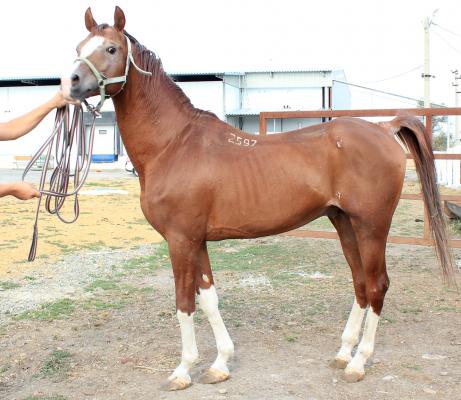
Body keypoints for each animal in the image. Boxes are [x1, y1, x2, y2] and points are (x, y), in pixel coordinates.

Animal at [63, 6, 455, 391]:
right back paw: (345, 352)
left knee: (377, 285)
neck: (173, 144)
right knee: (360, 283)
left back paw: (359, 363)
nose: (71, 83)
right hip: (345, 224)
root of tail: (384, 128)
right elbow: (209, 299)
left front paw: (183, 370)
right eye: (79, 46)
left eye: (111, 48)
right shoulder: (197, 241)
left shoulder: (180, 240)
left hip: (372, 226)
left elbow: (183, 302)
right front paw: (220, 364)